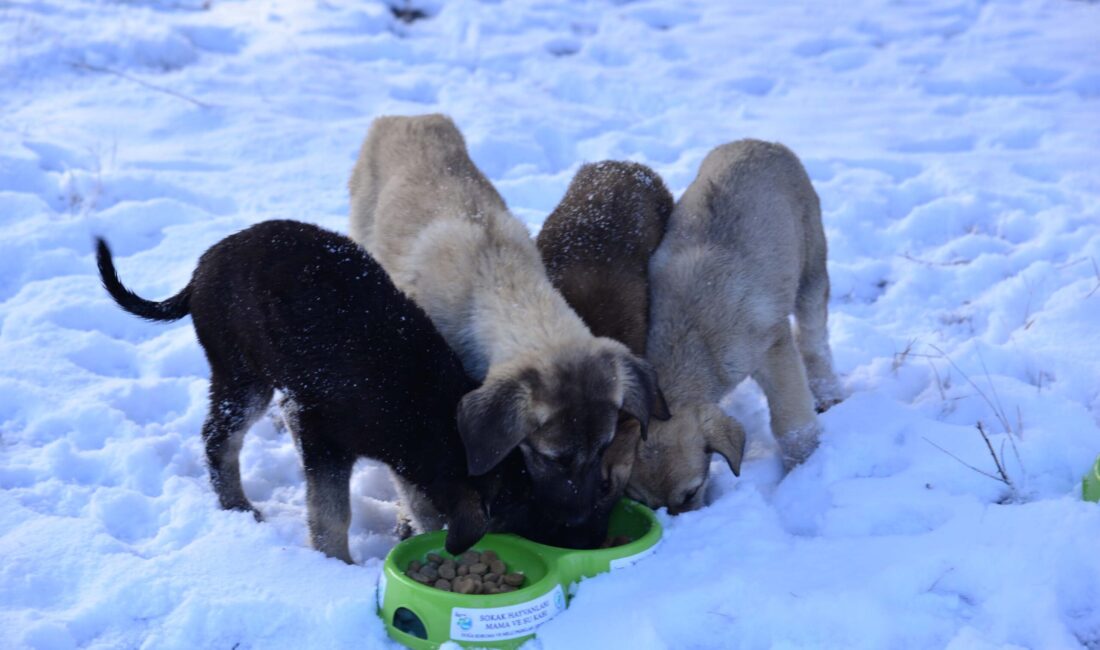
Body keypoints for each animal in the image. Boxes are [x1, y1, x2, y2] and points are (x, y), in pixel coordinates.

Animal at [92, 219, 488, 563]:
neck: (427, 412)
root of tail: (198, 273)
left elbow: (417, 501)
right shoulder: (322, 435)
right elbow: (331, 513)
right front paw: (338, 564)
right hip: (241, 375)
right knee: (218, 438)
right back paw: (239, 506)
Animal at [629, 138, 840, 514]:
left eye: (691, 493)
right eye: (644, 503)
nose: (681, 522)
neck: (689, 335)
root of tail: (762, 143)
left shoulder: (774, 351)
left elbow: (792, 424)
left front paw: (802, 470)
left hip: (812, 268)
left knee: (815, 338)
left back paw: (827, 390)